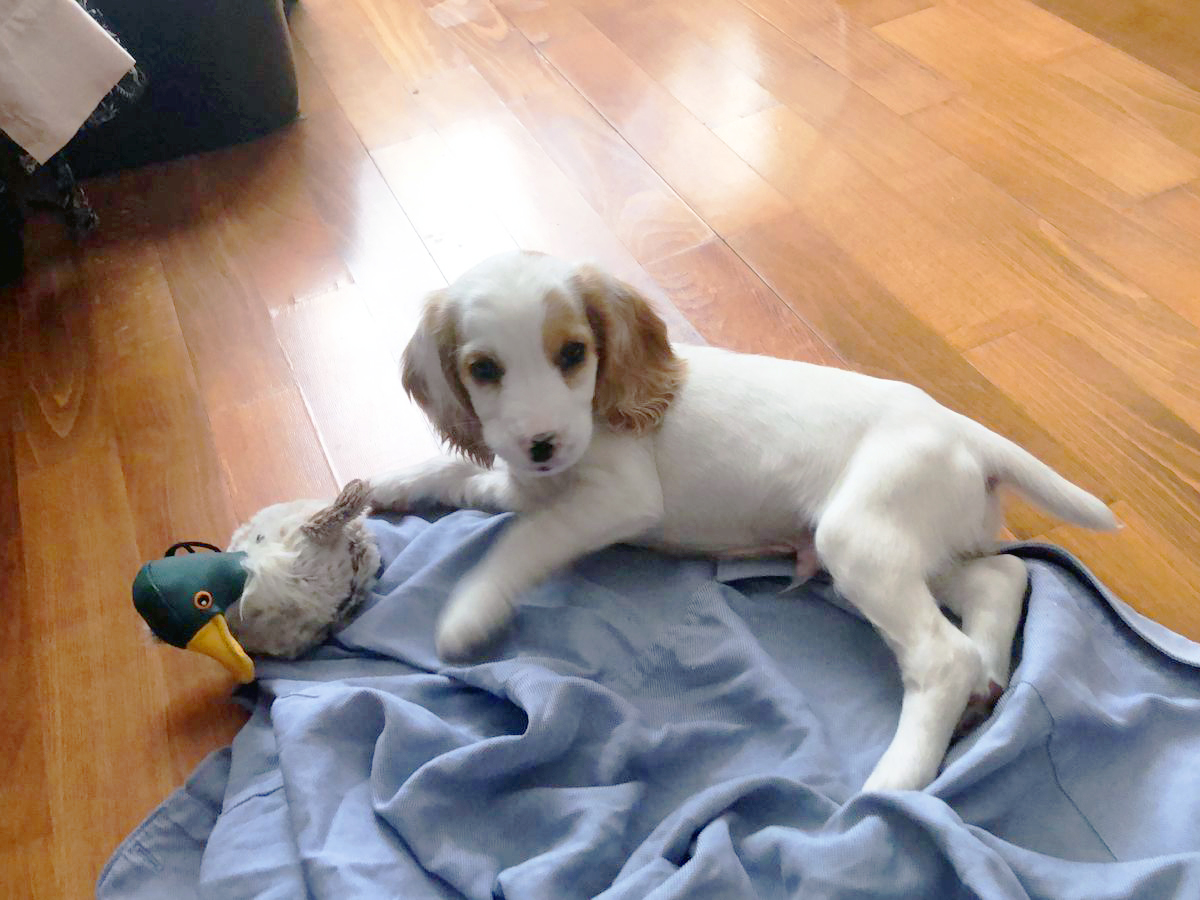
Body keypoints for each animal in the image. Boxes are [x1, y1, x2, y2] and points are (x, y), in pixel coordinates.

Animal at [368, 250, 1117, 792]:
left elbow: (522, 543)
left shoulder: (615, 499)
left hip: (857, 538)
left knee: (942, 656)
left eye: (573, 354)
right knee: (1002, 576)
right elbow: (457, 474)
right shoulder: (531, 484)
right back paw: (988, 684)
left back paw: (892, 787)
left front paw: (468, 611)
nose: (542, 444)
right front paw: (386, 485)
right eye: (484, 369)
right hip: (895, 551)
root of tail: (966, 431)